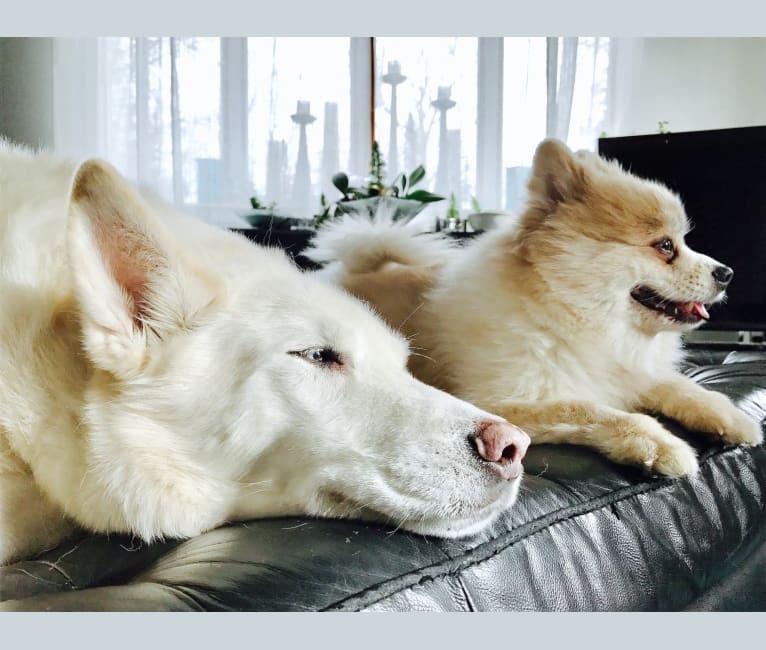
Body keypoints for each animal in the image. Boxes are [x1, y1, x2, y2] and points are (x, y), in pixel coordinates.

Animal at [308, 138, 763, 479]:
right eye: (665, 246)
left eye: (683, 241)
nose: (727, 273)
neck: (571, 314)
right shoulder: (499, 402)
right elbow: (591, 407)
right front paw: (659, 443)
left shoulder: (631, 372)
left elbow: (681, 386)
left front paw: (733, 417)